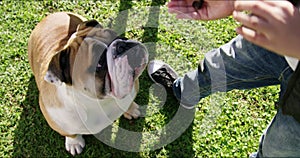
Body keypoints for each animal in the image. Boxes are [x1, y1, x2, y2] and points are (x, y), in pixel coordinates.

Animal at [28, 12, 148, 156]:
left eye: (115, 35)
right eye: (99, 63)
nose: (121, 46)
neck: (100, 102)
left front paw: (131, 108)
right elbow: (71, 133)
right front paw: (74, 143)